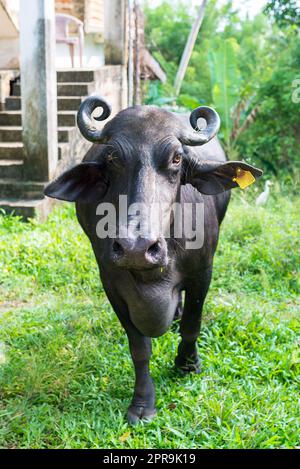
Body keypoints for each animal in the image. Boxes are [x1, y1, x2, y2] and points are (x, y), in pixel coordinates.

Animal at [45, 96, 262, 424]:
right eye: (113, 158)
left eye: (176, 159)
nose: (136, 247)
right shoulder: (111, 283)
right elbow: (139, 348)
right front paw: (142, 403)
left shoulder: (203, 274)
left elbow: (192, 326)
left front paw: (187, 364)